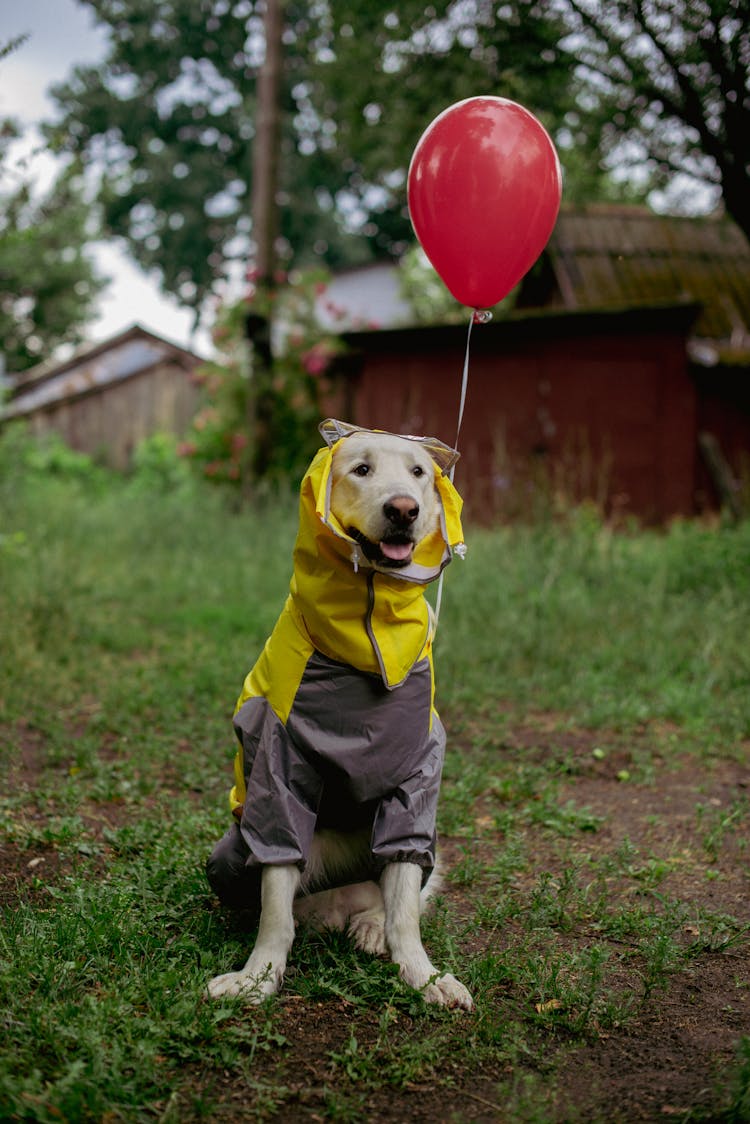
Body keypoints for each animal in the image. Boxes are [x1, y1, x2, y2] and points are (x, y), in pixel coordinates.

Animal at [205, 420, 472, 1011]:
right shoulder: (278, 771)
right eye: (361, 469)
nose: (403, 509)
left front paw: (423, 975)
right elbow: (275, 902)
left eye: (418, 473)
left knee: (395, 895)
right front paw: (259, 976)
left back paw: (369, 925)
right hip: (228, 857)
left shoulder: (416, 780)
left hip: (430, 849)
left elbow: (405, 902)